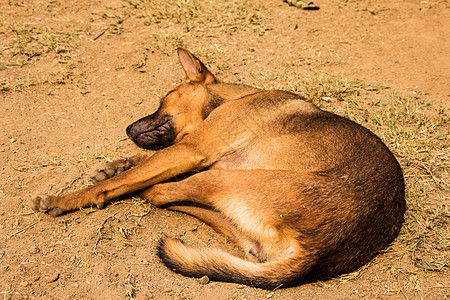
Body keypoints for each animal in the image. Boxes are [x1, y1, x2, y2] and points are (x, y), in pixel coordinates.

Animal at [29, 48, 406, 290]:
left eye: (166, 96)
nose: (127, 128)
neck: (235, 97)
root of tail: (315, 253)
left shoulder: (191, 150)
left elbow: (127, 177)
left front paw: (65, 198)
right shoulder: (188, 151)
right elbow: (137, 163)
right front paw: (114, 165)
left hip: (222, 176)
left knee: (158, 193)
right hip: (237, 215)